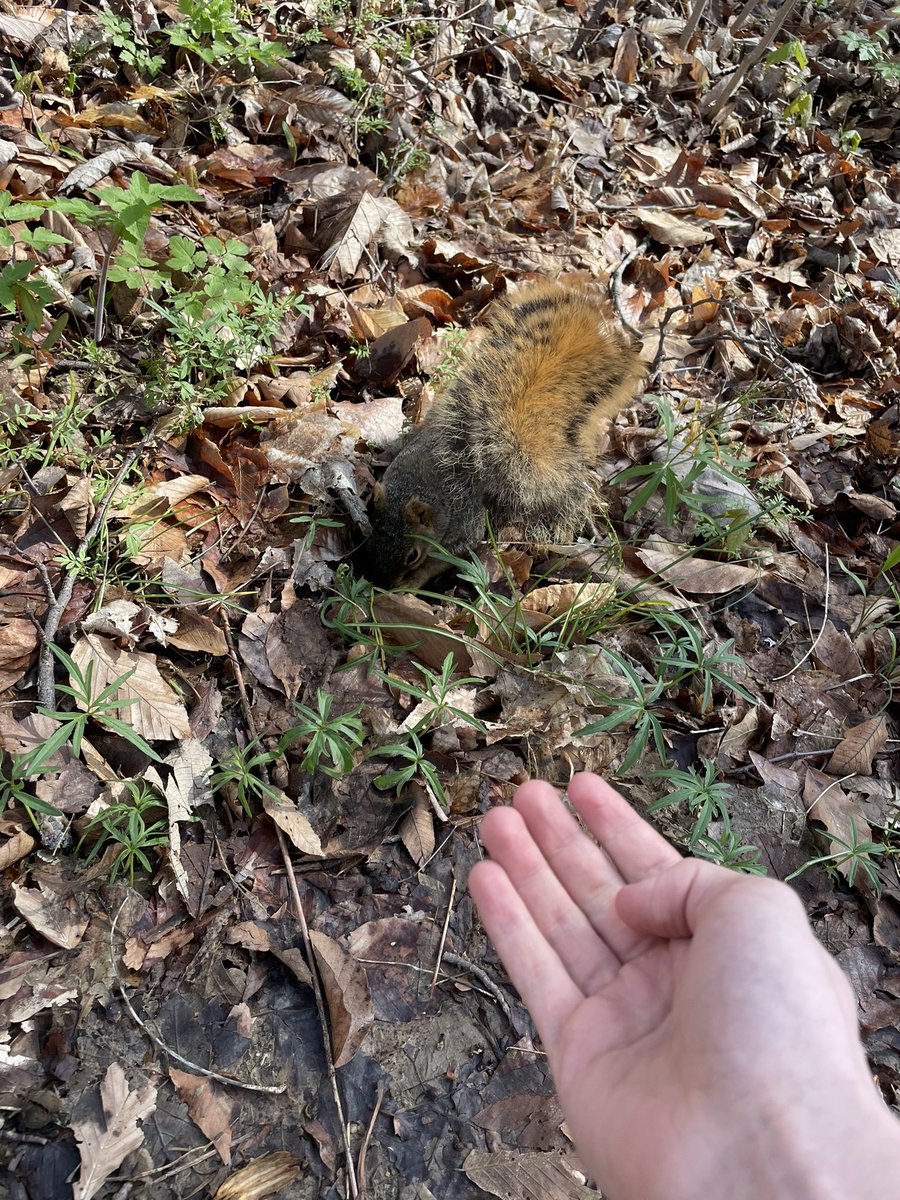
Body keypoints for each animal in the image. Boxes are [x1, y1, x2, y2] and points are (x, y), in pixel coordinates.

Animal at [362, 276, 643, 585]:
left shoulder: (462, 525)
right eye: (373, 536)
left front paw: (411, 583)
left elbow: (446, 557)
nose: (381, 580)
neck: (418, 488)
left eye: (412, 556)